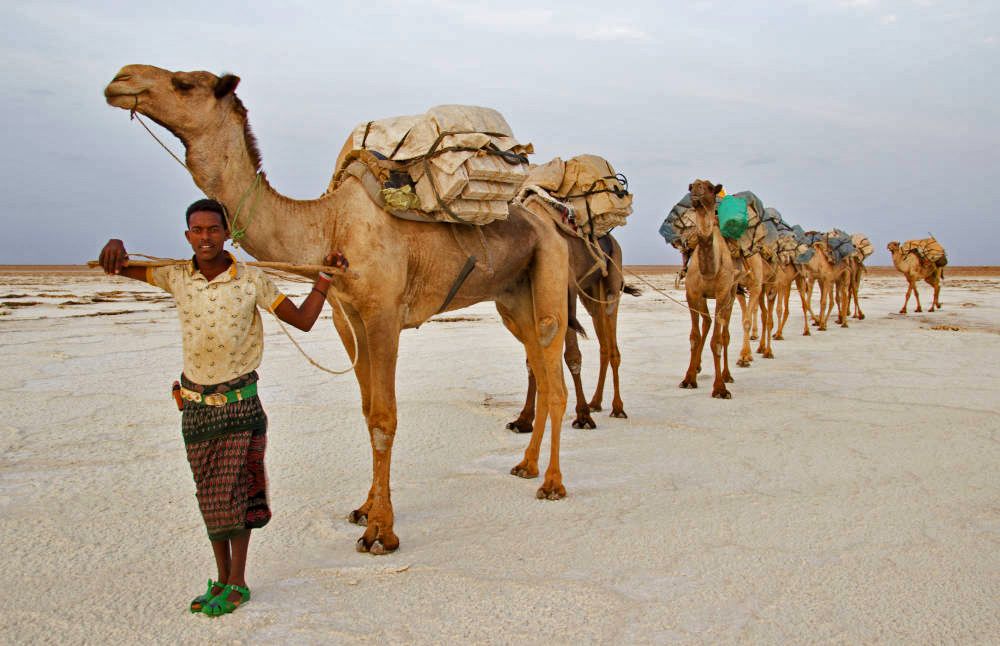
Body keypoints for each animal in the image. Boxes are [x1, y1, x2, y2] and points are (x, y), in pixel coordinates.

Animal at [105, 64, 576, 556]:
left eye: (183, 83)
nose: (121, 78)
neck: (328, 226)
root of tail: (552, 223)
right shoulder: (347, 319)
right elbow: (368, 412)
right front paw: (365, 509)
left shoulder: (384, 314)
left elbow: (385, 418)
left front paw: (381, 534)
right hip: (511, 298)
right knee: (541, 367)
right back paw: (526, 466)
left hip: (549, 268)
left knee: (554, 369)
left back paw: (553, 484)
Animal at [508, 233, 640, 436]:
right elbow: (533, 361)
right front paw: (523, 420)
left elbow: (572, 356)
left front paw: (583, 417)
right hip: (590, 295)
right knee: (604, 346)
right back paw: (595, 402)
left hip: (611, 284)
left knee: (613, 347)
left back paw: (617, 408)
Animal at [676, 180, 740, 398]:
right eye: (691, 186)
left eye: (711, 187)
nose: (696, 188)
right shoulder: (692, 293)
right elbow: (694, 337)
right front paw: (688, 379)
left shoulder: (722, 294)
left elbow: (717, 341)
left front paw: (720, 388)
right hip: (703, 298)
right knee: (707, 321)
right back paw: (696, 367)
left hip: (732, 294)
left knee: (725, 333)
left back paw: (727, 375)